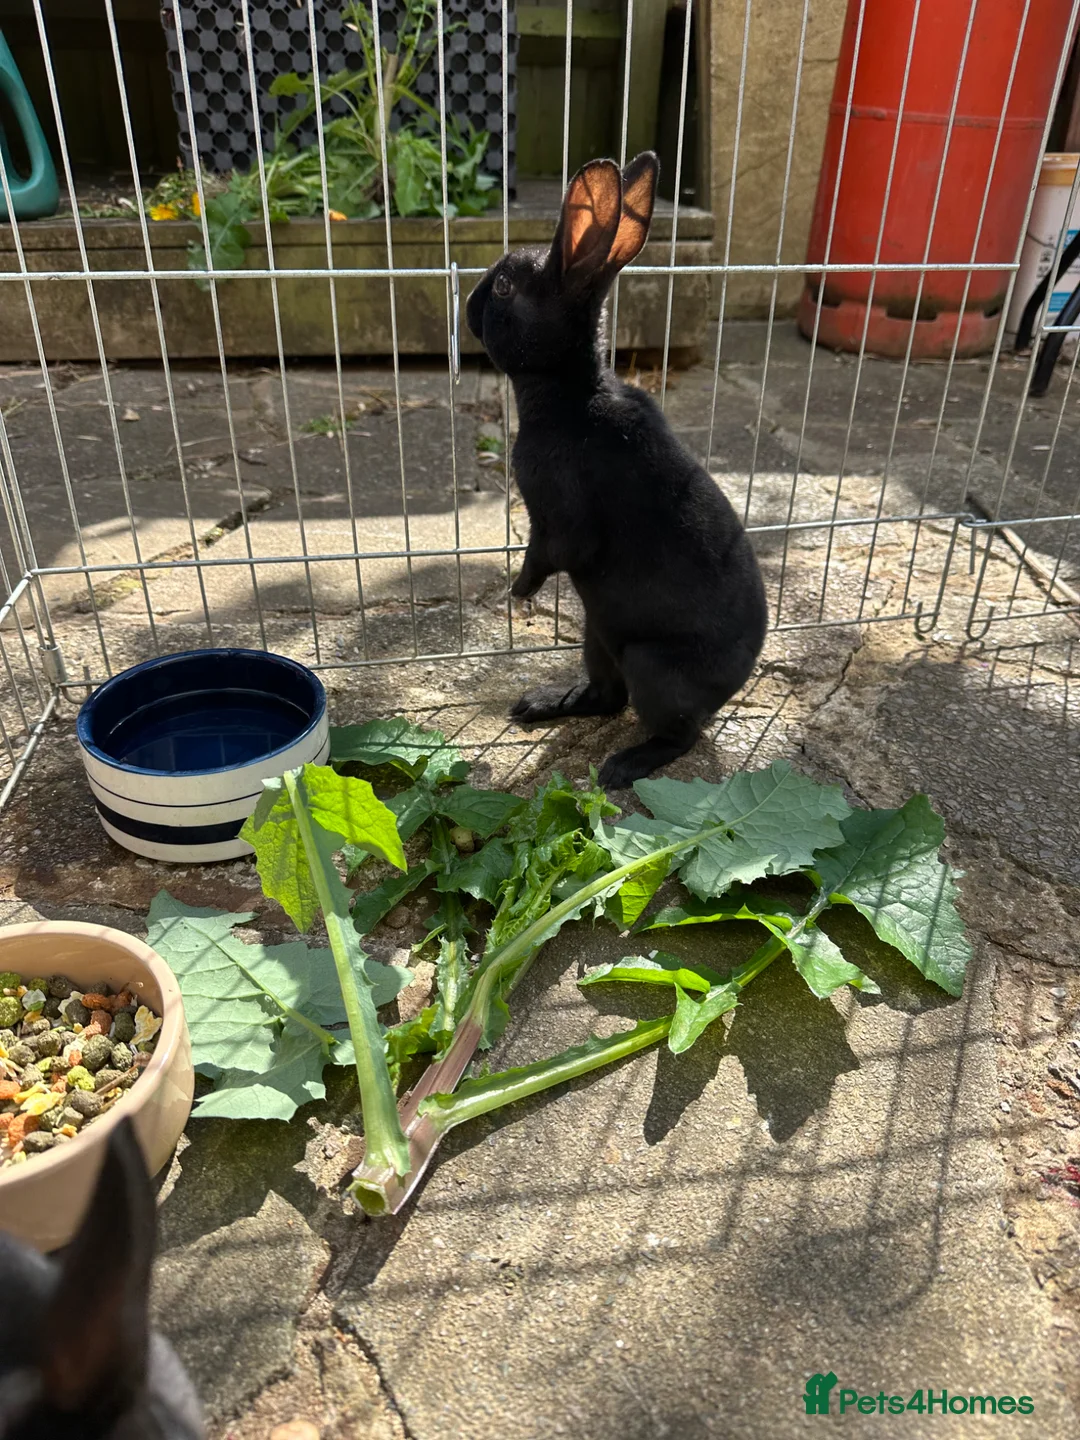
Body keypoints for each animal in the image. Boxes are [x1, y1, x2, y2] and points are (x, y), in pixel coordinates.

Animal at [466, 151, 768, 788]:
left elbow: (546, 555)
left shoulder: (562, 524)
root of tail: (729, 690)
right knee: (606, 697)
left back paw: (622, 767)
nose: (470, 303)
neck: (571, 394)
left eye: (504, 286)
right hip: (597, 637)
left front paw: (517, 596)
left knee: (675, 733)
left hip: (649, 667)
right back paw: (541, 704)